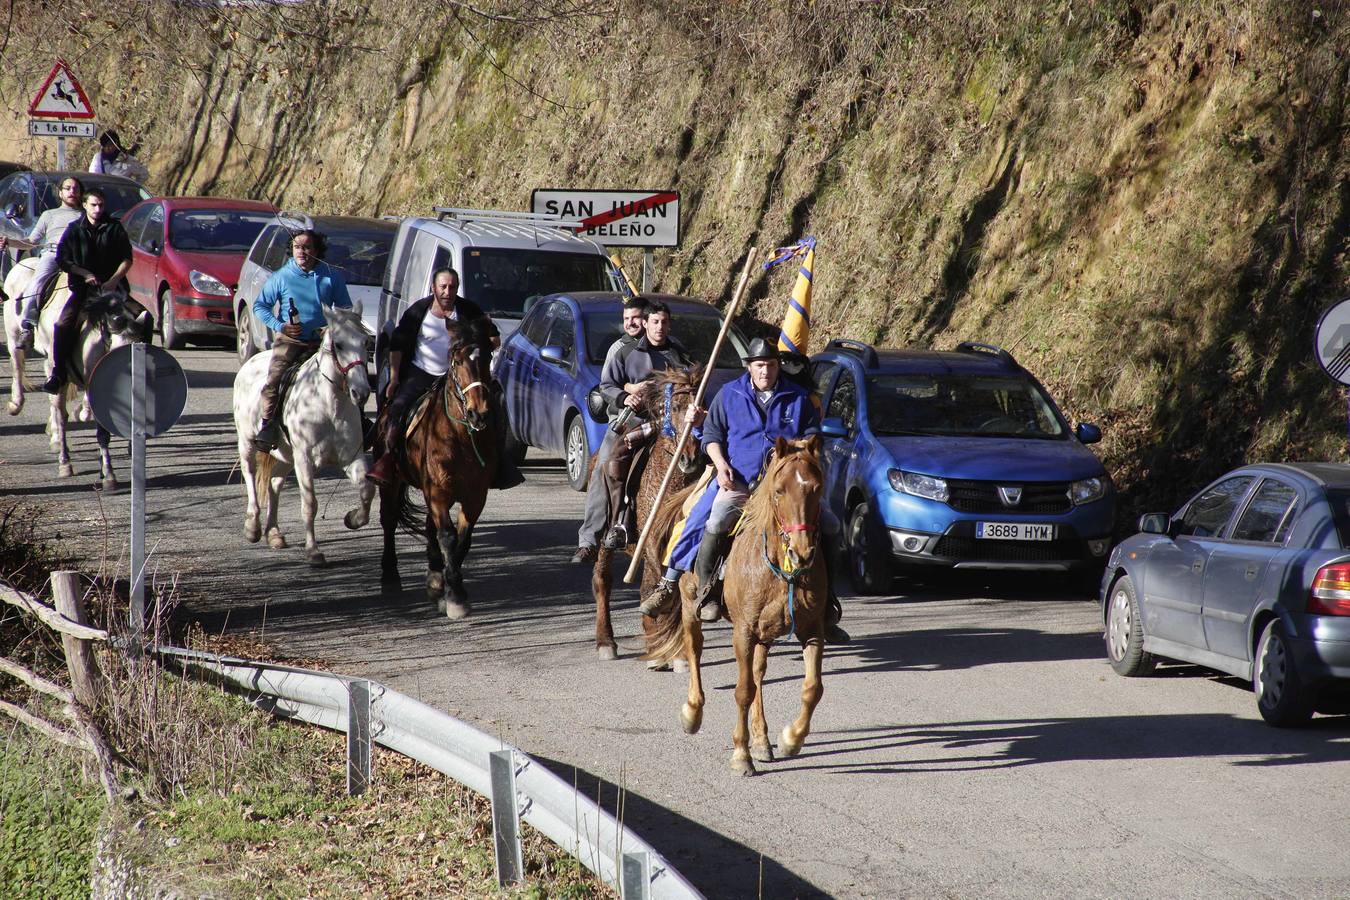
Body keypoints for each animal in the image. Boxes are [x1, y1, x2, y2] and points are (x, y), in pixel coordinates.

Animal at [378, 319, 499, 623]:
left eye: (488, 358)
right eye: (457, 360)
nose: (479, 413)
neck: (461, 437)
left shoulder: (475, 496)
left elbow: (462, 540)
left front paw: (450, 588)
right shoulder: (439, 493)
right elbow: (448, 536)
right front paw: (455, 598)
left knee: (429, 527)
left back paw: (435, 577)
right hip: (392, 483)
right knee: (389, 520)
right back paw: (390, 576)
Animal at [596, 364, 712, 661]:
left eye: (703, 407)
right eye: (676, 407)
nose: (690, 458)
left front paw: (676, 651)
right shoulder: (650, 546)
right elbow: (654, 587)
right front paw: (660, 647)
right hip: (603, 538)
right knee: (602, 580)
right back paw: (605, 641)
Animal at [650, 437, 826, 777]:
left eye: (816, 488)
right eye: (779, 490)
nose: (801, 553)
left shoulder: (813, 630)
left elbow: (812, 689)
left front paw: (790, 739)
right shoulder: (743, 631)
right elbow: (743, 691)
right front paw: (741, 755)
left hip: (765, 634)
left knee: (758, 673)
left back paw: (762, 741)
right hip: (691, 606)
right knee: (695, 649)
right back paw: (693, 713)